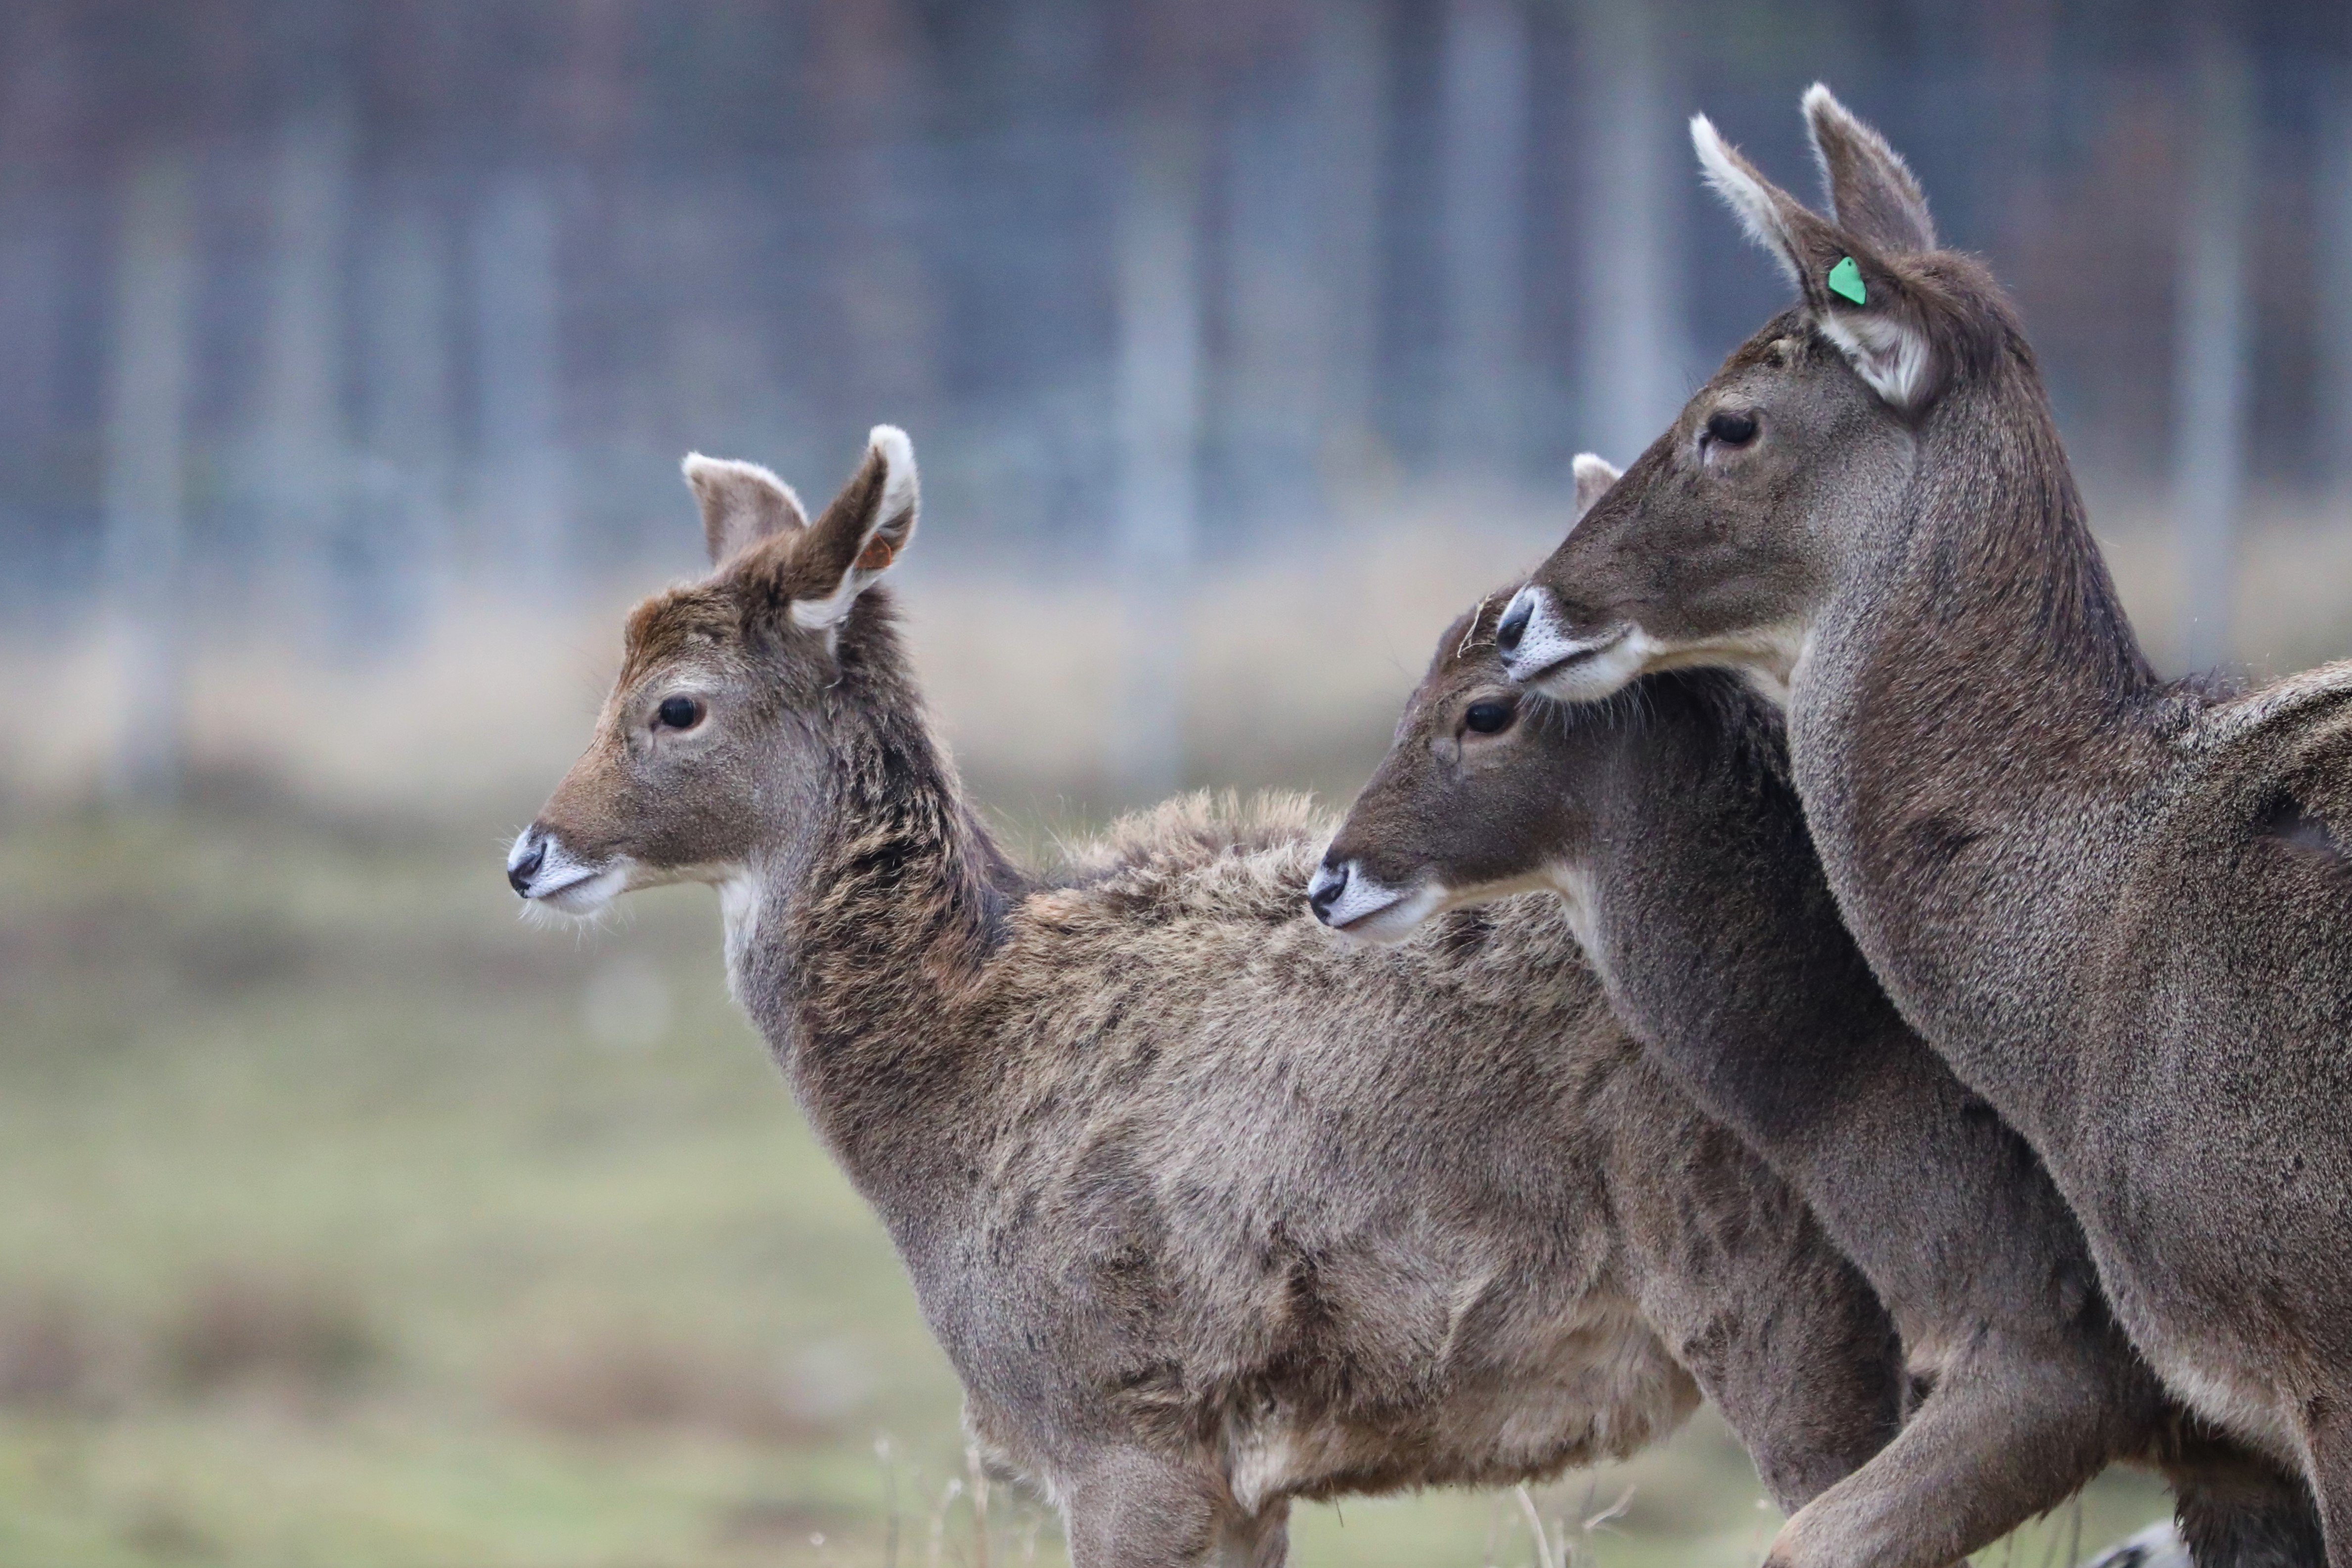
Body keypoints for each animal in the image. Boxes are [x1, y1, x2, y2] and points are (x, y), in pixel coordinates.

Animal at [504, 427, 1914, 1567]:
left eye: (675, 707)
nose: (529, 855)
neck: (952, 1084)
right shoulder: (1235, 1474)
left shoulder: (1123, 1419)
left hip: (1774, 1274)